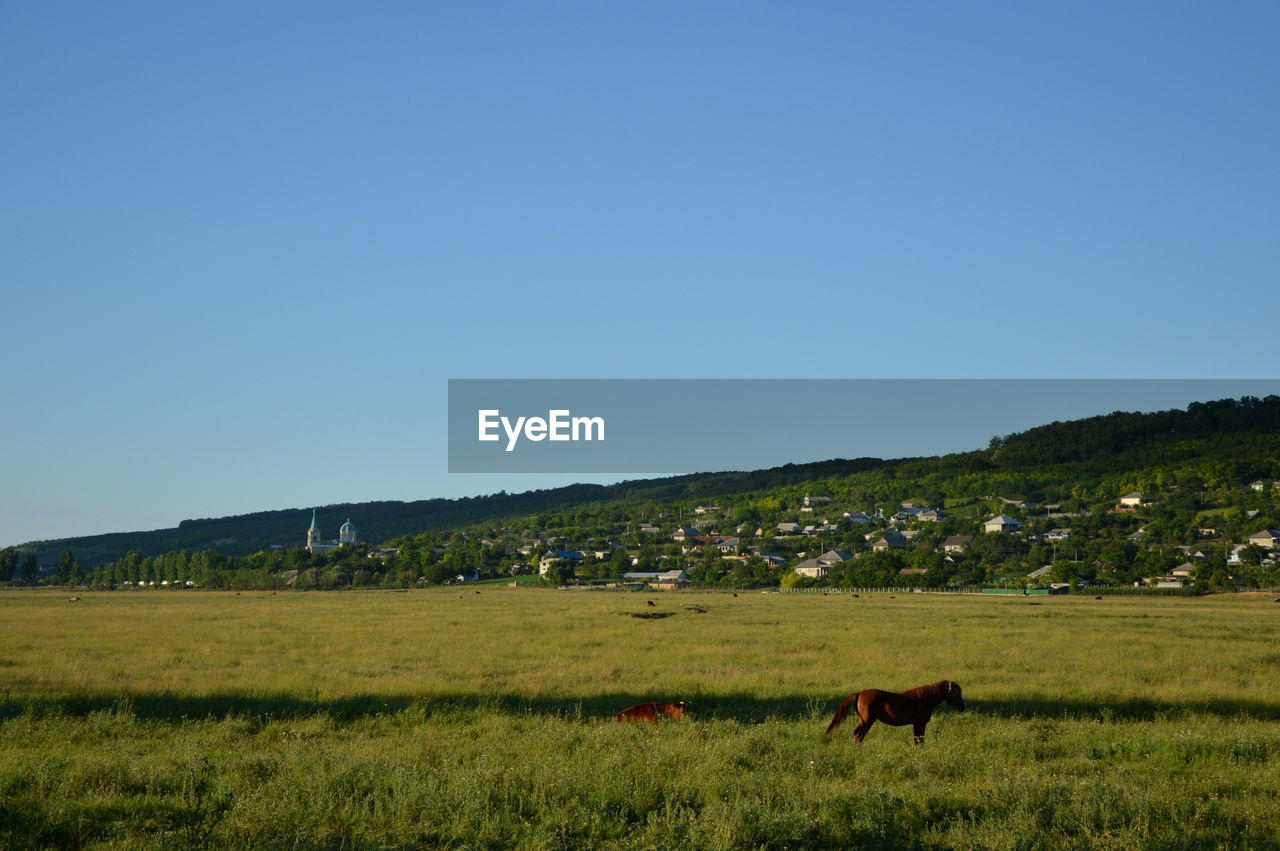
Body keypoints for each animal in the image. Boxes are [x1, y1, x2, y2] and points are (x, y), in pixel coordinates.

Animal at [824, 675, 962, 742]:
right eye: (957, 691)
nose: (963, 706)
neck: (924, 699)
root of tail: (860, 693)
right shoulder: (920, 723)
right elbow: (920, 740)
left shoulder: (916, 724)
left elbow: (917, 740)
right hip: (867, 722)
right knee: (859, 735)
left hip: (862, 721)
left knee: (856, 734)